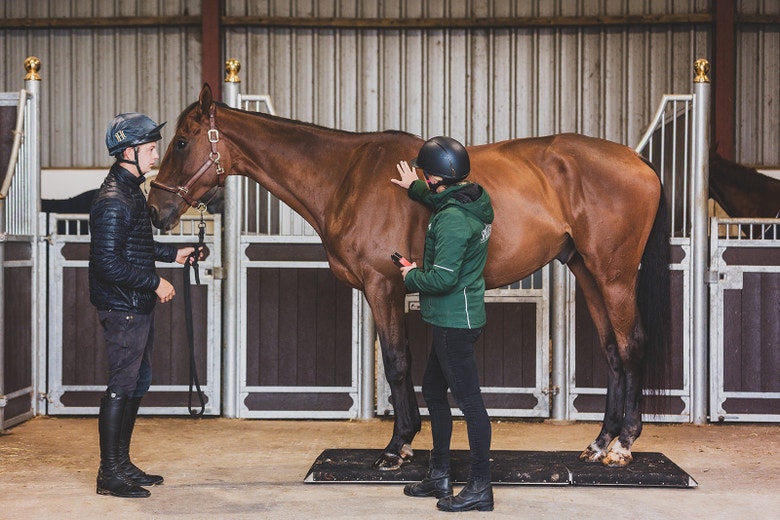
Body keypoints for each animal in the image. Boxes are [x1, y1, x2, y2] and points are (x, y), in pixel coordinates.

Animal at [148, 84, 671, 469]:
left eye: (182, 141)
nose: (156, 209)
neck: (347, 177)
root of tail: (638, 161)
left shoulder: (383, 286)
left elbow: (398, 361)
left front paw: (397, 447)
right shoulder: (384, 290)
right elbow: (396, 359)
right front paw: (406, 439)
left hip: (614, 275)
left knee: (632, 346)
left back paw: (623, 445)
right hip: (588, 272)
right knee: (612, 353)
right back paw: (600, 443)